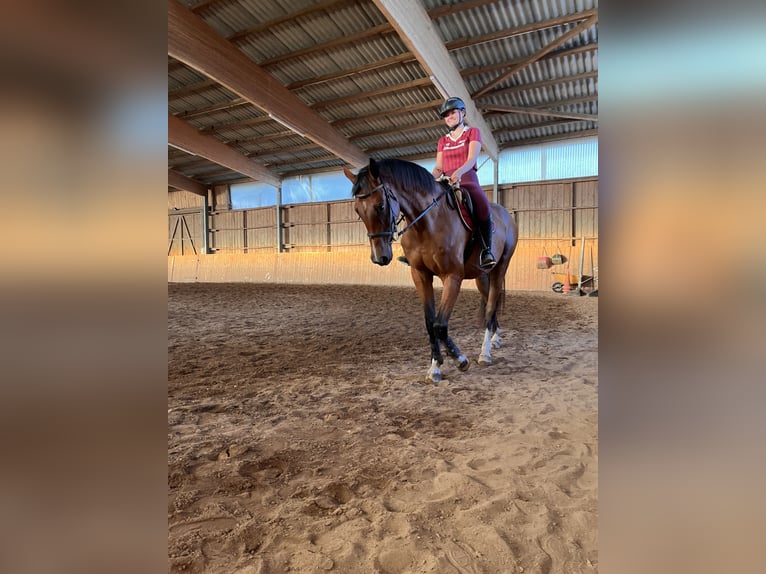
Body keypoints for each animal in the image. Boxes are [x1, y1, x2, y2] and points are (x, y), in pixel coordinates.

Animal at [344, 158, 518, 383]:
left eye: (380, 205)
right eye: (358, 210)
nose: (379, 258)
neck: (428, 223)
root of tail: (505, 214)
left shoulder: (453, 277)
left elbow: (440, 325)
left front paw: (460, 360)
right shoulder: (420, 275)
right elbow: (430, 323)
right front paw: (435, 366)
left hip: (500, 267)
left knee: (490, 305)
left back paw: (485, 352)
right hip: (481, 276)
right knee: (491, 301)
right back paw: (495, 338)